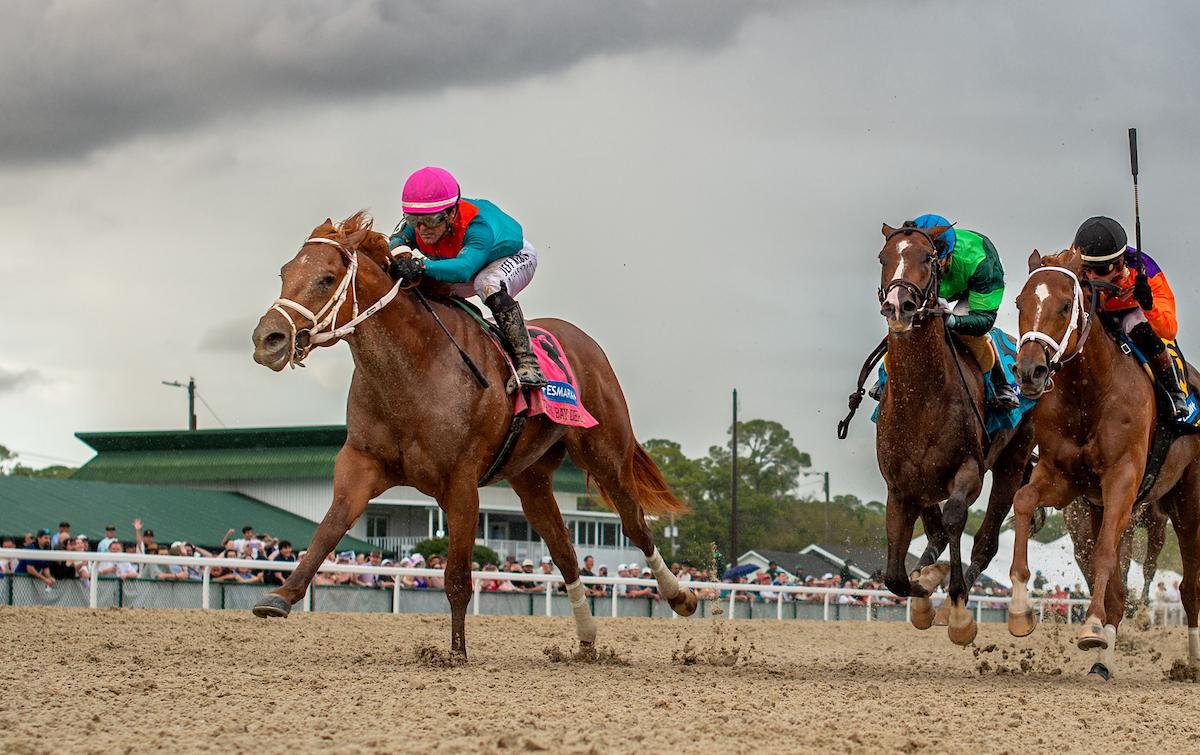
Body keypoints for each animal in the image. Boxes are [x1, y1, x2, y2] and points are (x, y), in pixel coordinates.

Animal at [248, 212, 698, 658]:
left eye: (326, 279)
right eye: (285, 272)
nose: (268, 339)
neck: (414, 367)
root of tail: (583, 341)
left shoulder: (461, 482)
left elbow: (457, 578)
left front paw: (457, 653)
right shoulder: (362, 463)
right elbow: (328, 528)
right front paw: (280, 597)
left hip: (606, 454)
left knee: (636, 525)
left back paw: (681, 597)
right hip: (531, 478)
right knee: (564, 551)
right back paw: (587, 638)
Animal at [874, 223, 1036, 646]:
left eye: (928, 258)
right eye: (883, 257)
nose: (898, 306)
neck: (922, 397)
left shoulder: (969, 471)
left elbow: (955, 519)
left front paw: (960, 610)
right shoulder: (900, 486)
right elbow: (896, 576)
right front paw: (925, 583)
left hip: (1012, 461)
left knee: (987, 539)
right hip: (923, 484)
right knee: (932, 534)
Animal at [1010, 247, 1200, 679]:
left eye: (1066, 305)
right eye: (1020, 303)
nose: (1030, 372)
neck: (1090, 391)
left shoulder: (1122, 481)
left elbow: (1105, 556)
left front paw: (1092, 625)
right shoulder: (1064, 479)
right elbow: (1024, 501)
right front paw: (1020, 610)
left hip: (1187, 505)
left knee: (1189, 585)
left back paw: (1193, 661)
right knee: (1120, 587)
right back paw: (1103, 661)